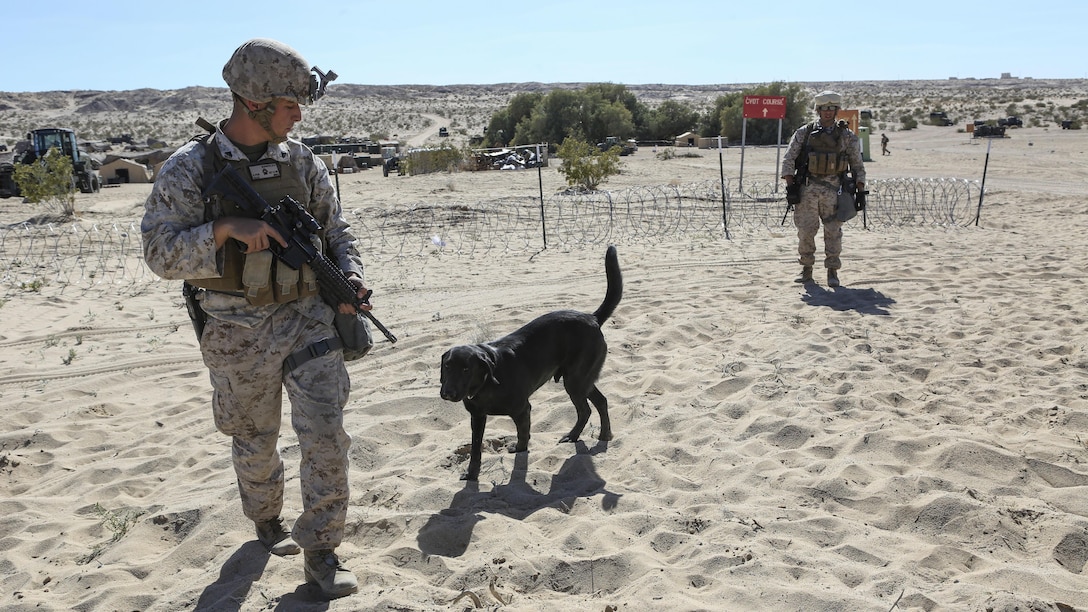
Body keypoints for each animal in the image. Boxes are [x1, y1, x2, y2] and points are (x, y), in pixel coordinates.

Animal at [435, 245, 622, 479]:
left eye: (466, 369)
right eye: (447, 366)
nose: (447, 393)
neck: (487, 385)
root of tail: (593, 318)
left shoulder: (523, 410)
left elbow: (523, 438)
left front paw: (519, 454)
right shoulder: (477, 417)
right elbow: (476, 449)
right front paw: (472, 474)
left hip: (576, 380)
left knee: (586, 409)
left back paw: (579, 435)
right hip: (580, 379)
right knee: (600, 402)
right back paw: (601, 434)